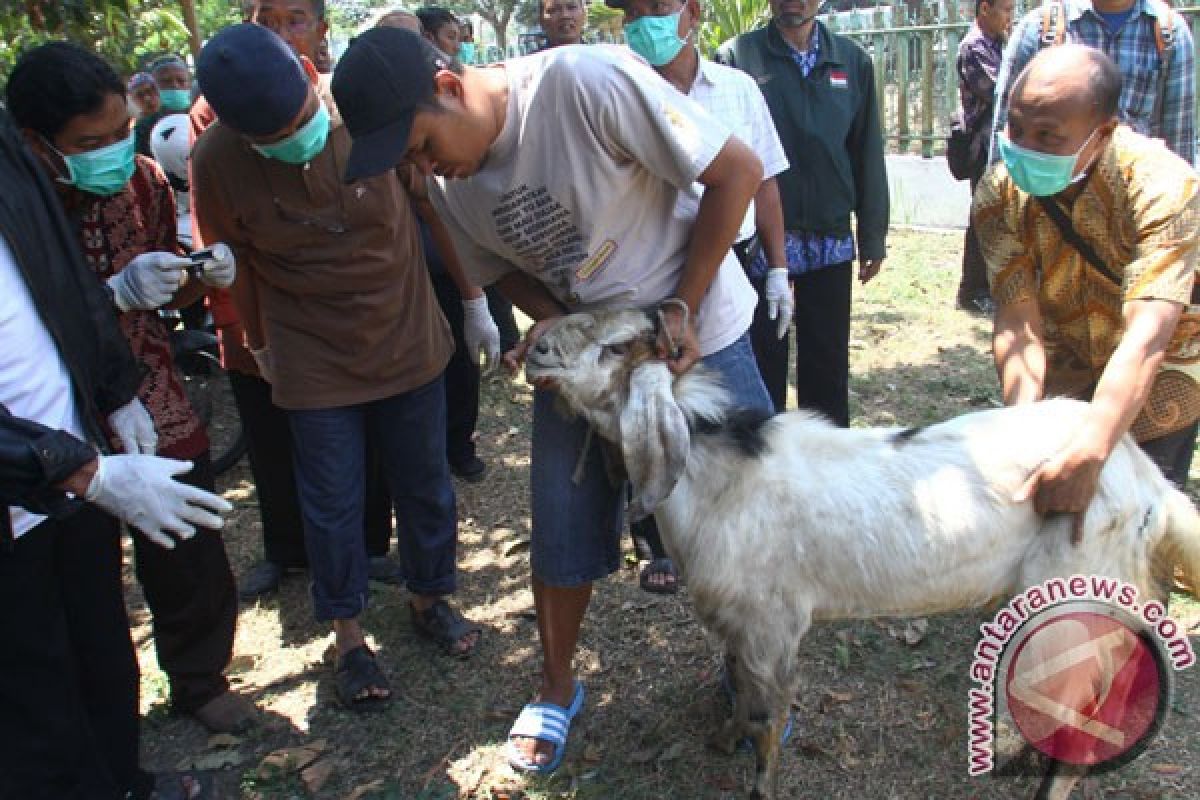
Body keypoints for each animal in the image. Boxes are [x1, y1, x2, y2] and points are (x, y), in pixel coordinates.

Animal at [525, 309, 1200, 800]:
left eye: (616, 348)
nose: (534, 346)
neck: (720, 477)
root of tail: (1151, 484)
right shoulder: (739, 623)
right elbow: (742, 691)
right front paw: (722, 738)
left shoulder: (773, 626)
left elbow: (768, 713)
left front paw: (761, 784)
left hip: (1075, 594)